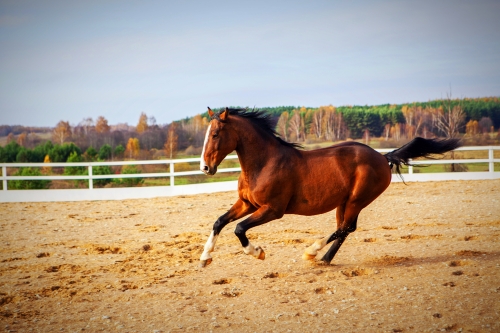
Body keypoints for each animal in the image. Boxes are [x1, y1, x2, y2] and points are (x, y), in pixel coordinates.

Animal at [198, 106, 460, 268]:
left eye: (216, 134)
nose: (205, 167)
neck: (265, 163)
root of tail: (381, 156)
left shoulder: (272, 209)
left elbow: (239, 228)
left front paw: (257, 252)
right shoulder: (247, 203)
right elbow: (219, 222)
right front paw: (204, 258)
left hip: (357, 200)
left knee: (345, 228)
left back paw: (313, 252)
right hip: (343, 202)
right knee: (345, 228)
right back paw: (324, 259)